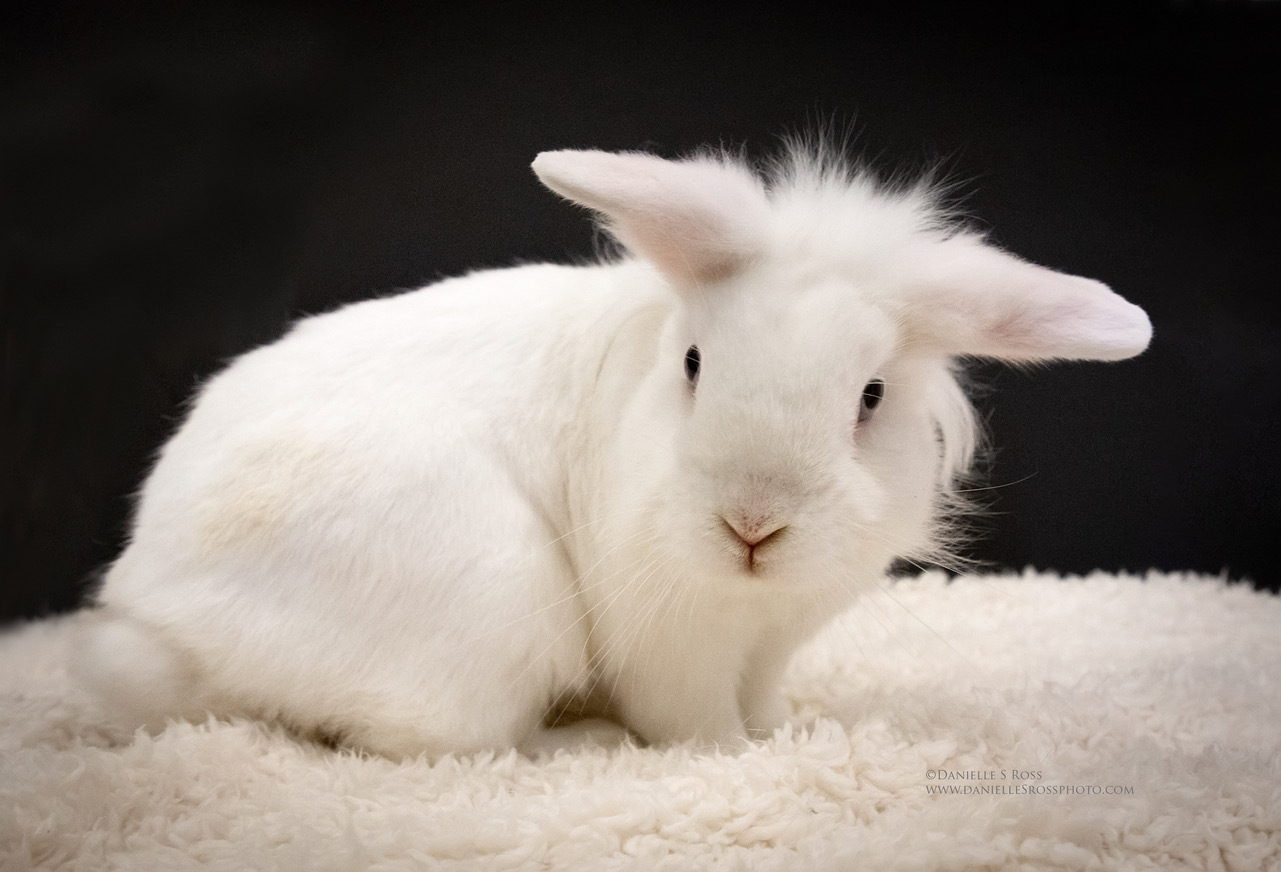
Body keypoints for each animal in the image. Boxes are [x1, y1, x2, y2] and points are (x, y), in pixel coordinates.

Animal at [71, 141, 1152, 760]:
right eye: (694, 363)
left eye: (871, 398)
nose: (751, 523)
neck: (748, 596)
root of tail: (156, 624)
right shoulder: (671, 642)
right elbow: (691, 722)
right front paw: (736, 757)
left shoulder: (770, 642)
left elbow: (761, 700)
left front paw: (785, 732)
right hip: (494, 601)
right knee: (426, 741)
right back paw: (572, 741)